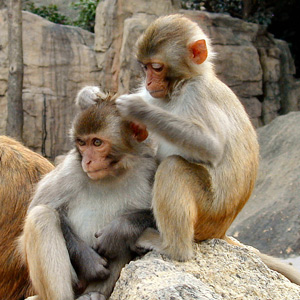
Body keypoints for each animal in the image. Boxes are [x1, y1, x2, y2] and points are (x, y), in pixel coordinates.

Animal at [20, 94, 157, 300]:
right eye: (82, 143)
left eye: (97, 143)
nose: (87, 161)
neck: (113, 174)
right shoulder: (70, 169)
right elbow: (38, 209)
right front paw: (88, 261)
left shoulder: (149, 169)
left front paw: (119, 229)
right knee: (41, 216)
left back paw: (94, 294)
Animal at [78, 15, 300, 284]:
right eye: (145, 68)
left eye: (157, 67)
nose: (149, 82)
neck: (180, 86)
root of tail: (221, 231)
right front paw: (89, 95)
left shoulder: (197, 94)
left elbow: (211, 147)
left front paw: (138, 108)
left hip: (208, 215)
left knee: (174, 167)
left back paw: (172, 247)